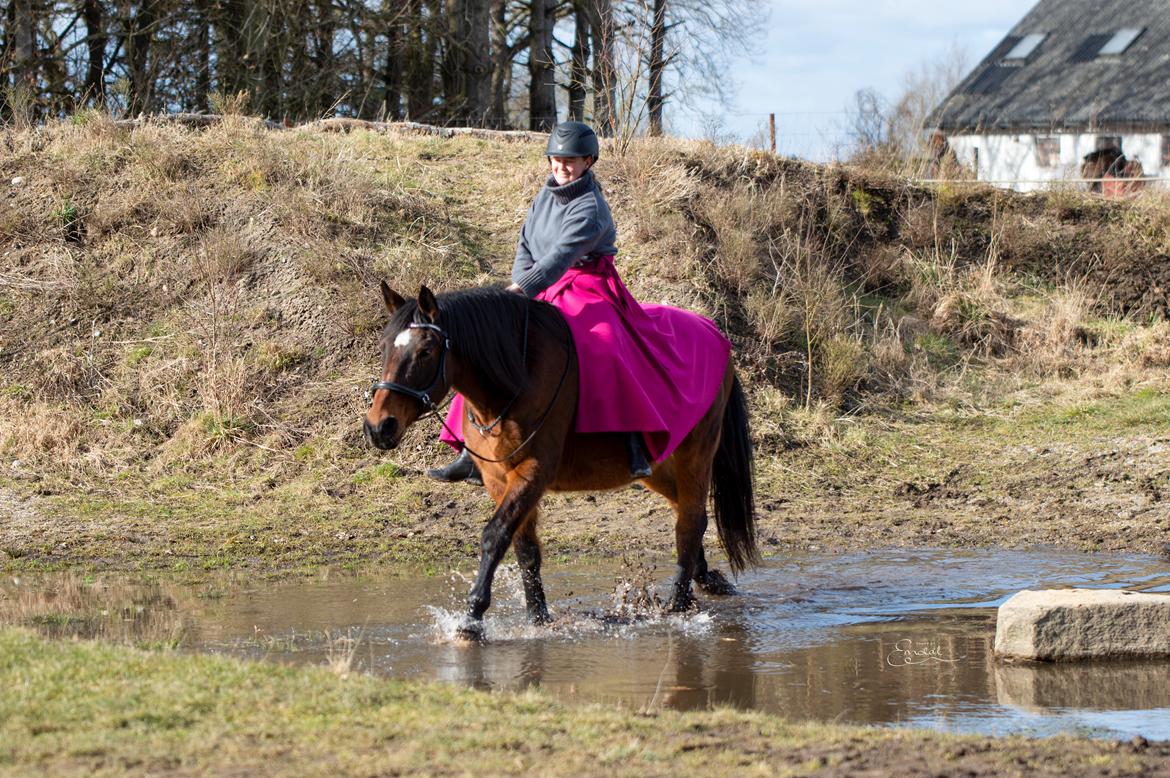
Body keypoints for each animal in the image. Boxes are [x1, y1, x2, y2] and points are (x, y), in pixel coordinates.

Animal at [365, 281, 758, 641]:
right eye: (383, 347)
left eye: (426, 351)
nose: (379, 427)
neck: (517, 375)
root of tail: (713, 332)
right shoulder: (499, 479)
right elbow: (524, 549)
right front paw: (538, 618)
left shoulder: (533, 473)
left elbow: (495, 535)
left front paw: (472, 618)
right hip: (658, 465)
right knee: (689, 514)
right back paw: (701, 581)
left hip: (696, 454)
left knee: (689, 523)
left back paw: (678, 606)